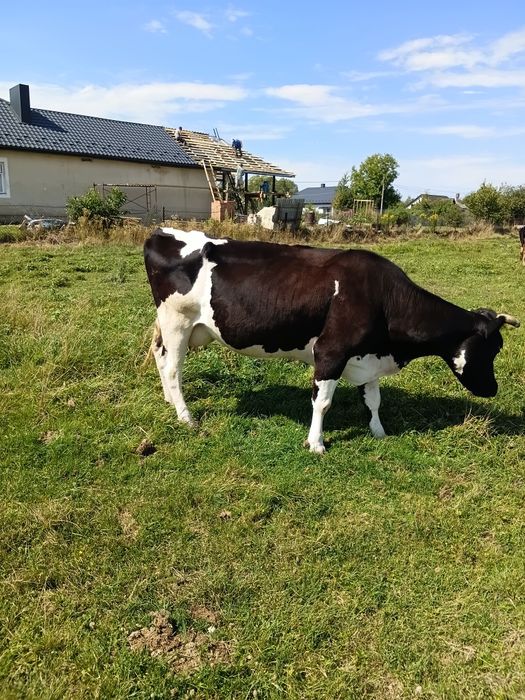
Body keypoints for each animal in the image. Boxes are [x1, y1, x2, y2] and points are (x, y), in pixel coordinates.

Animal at [144, 227, 519, 453]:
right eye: (491, 349)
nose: (493, 390)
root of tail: (163, 232)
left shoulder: (367, 358)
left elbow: (374, 400)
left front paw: (379, 432)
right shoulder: (330, 352)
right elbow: (322, 403)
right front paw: (316, 443)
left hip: (178, 327)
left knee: (160, 357)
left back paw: (168, 401)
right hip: (177, 322)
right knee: (174, 369)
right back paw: (185, 416)